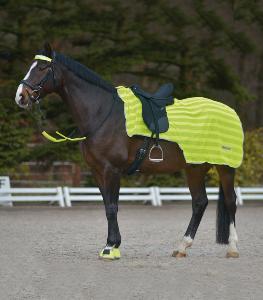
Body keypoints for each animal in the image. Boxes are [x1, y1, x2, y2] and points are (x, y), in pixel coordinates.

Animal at [14, 43, 241, 258]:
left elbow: (112, 207)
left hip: (225, 167)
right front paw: (112, 244)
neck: (103, 113)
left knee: (231, 202)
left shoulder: (112, 170)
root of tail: (230, 111)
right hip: (194, 168)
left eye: (42, 68)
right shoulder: (98, 171)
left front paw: (110, 247)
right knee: (199, 203)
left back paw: (232, 248)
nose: (20, 96)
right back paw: (182, 247)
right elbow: (107, 206)